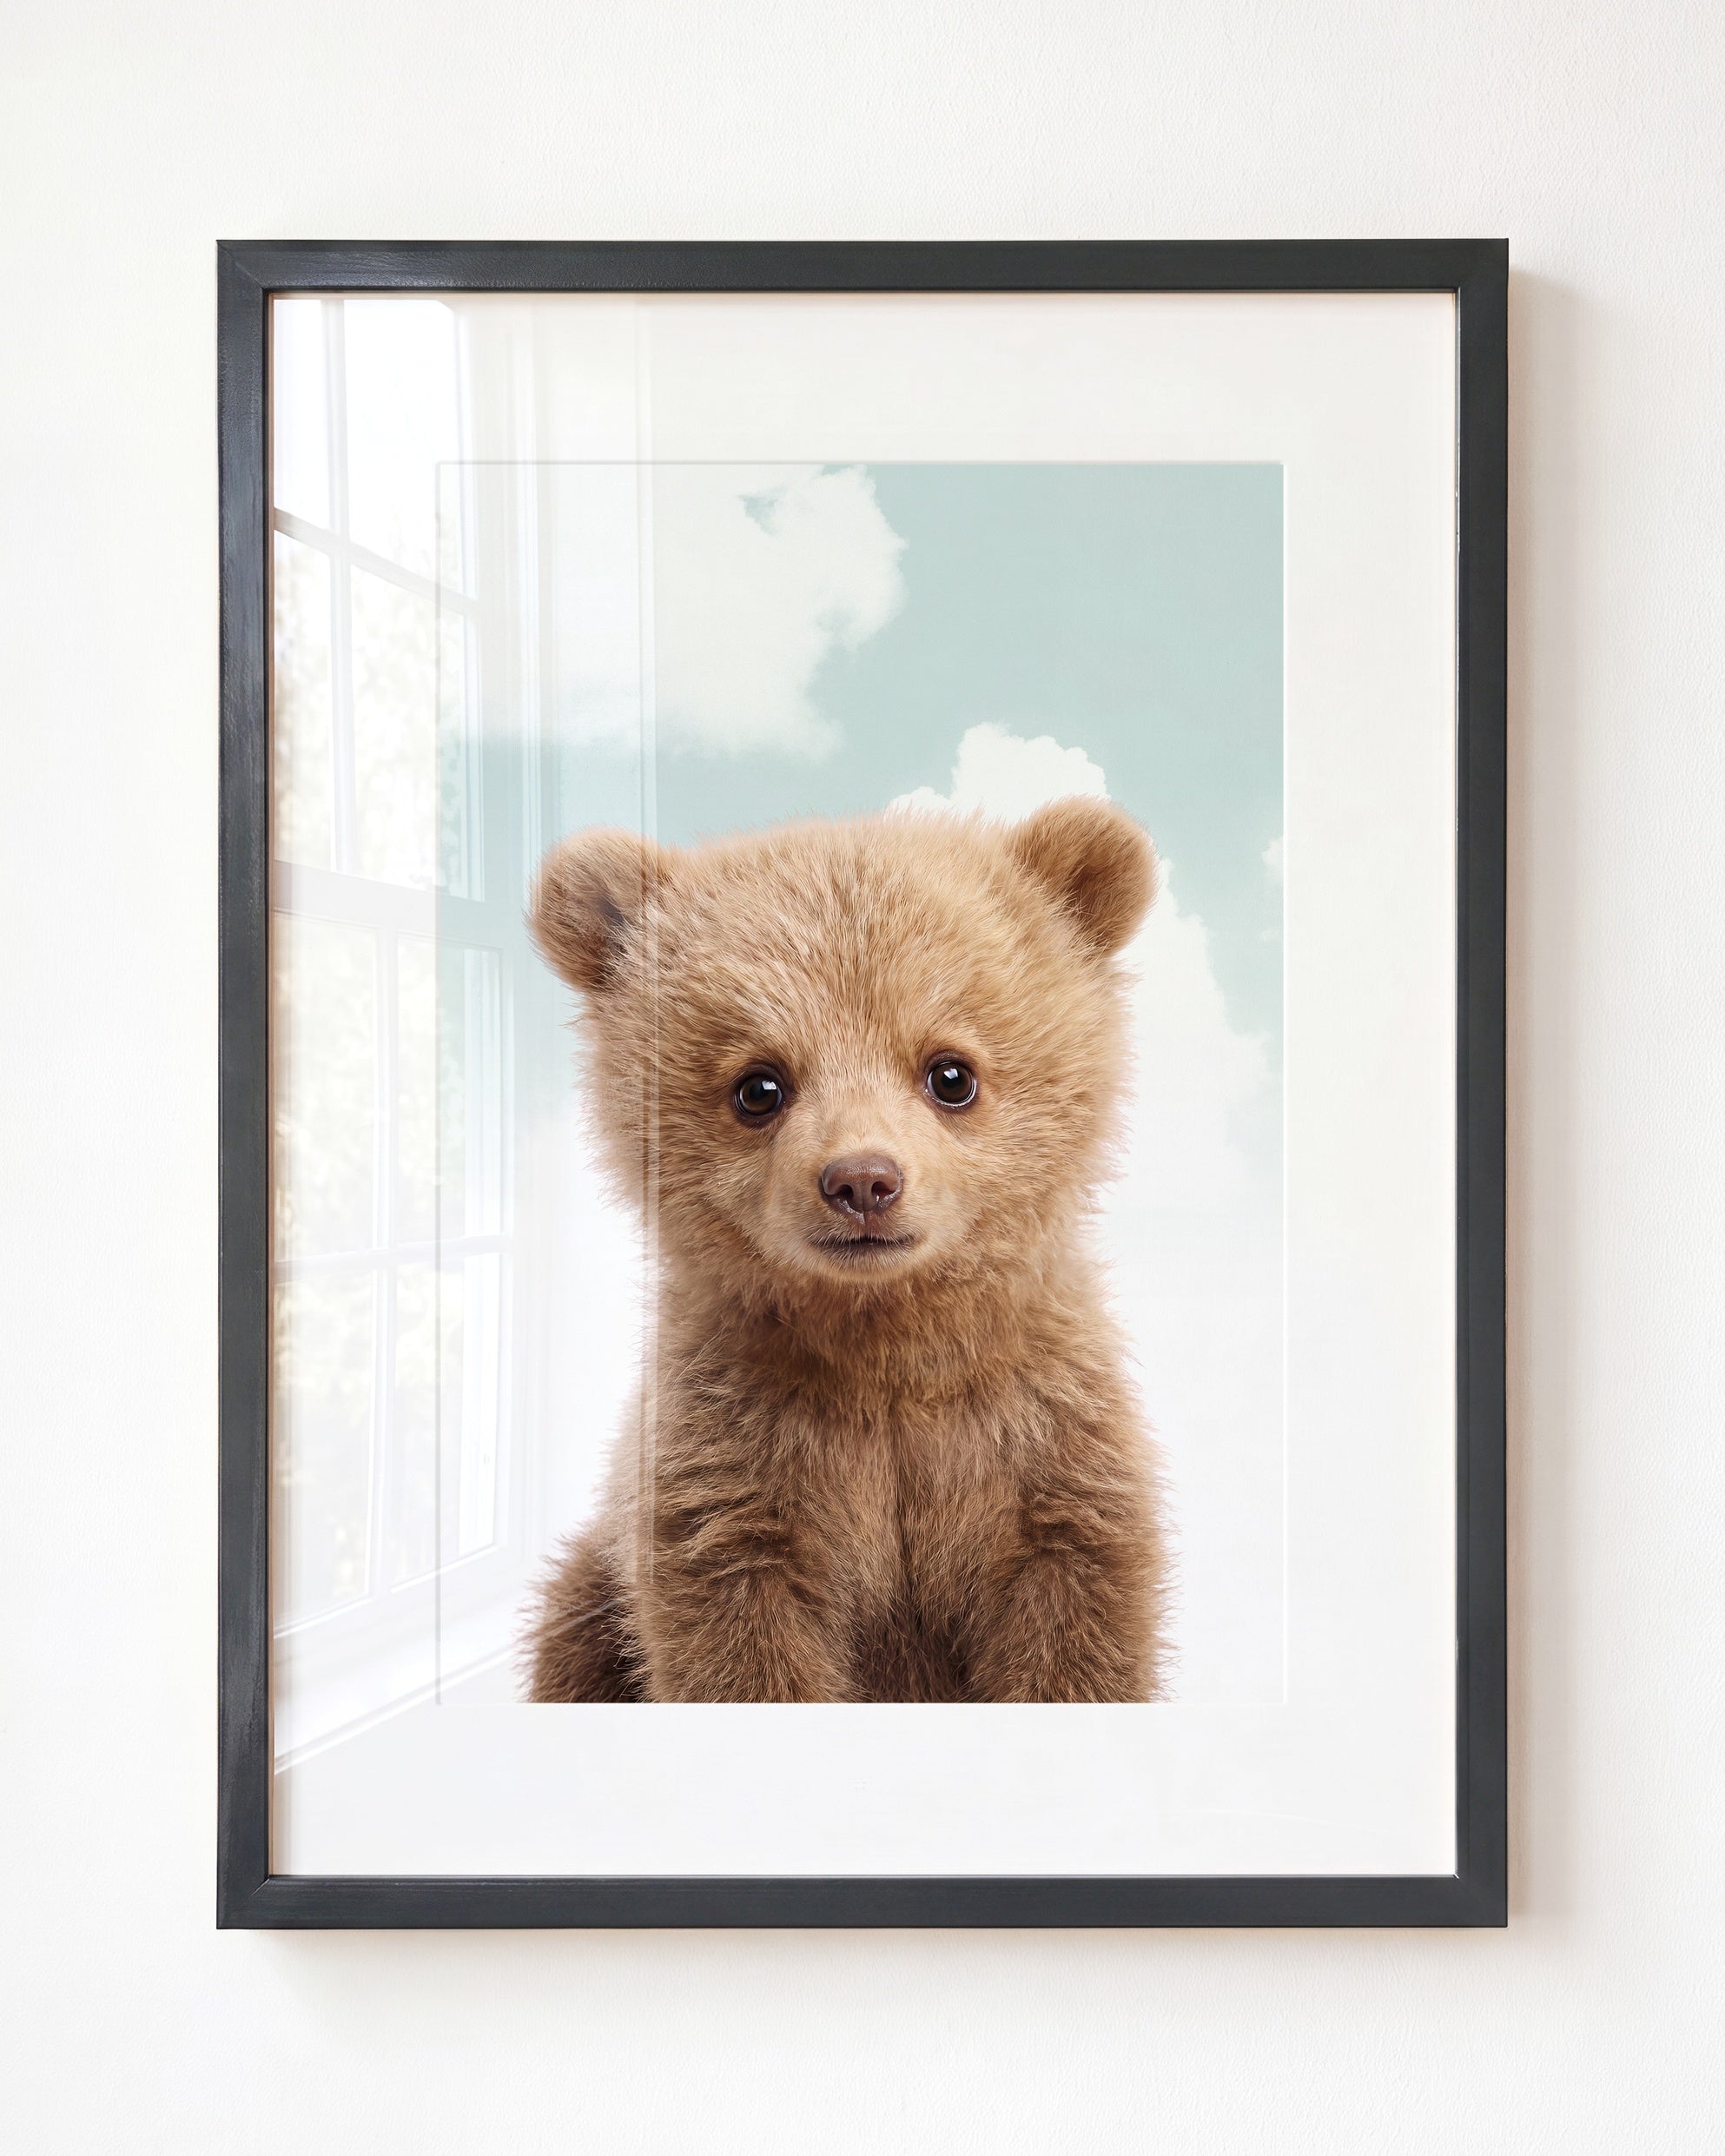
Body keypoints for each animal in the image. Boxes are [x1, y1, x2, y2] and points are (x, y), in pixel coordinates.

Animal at [521, 796, 1171, 1703]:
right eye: (759, 1086)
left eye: (951, 1073)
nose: (863, 1180)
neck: (884, 1349)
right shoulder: (735, 1474)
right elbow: (741, 1646)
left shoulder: (1042, 1452)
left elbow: (1074, 1632)